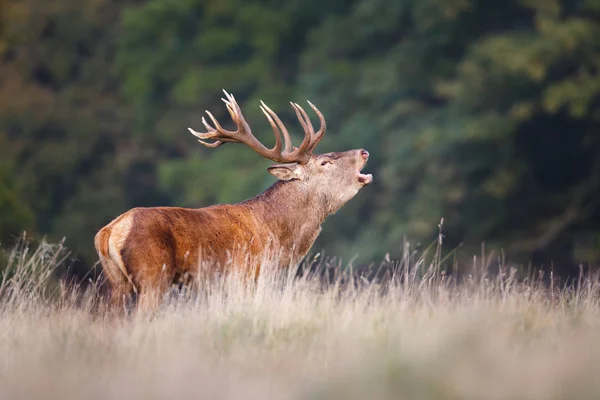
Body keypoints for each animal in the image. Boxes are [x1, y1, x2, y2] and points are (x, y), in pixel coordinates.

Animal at [94, 90, 372, 312]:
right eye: (325, 162)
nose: (364, 151)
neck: (280, 236)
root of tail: (108, 232)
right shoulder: (248, 275)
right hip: (152, 275)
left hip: (116, 283)